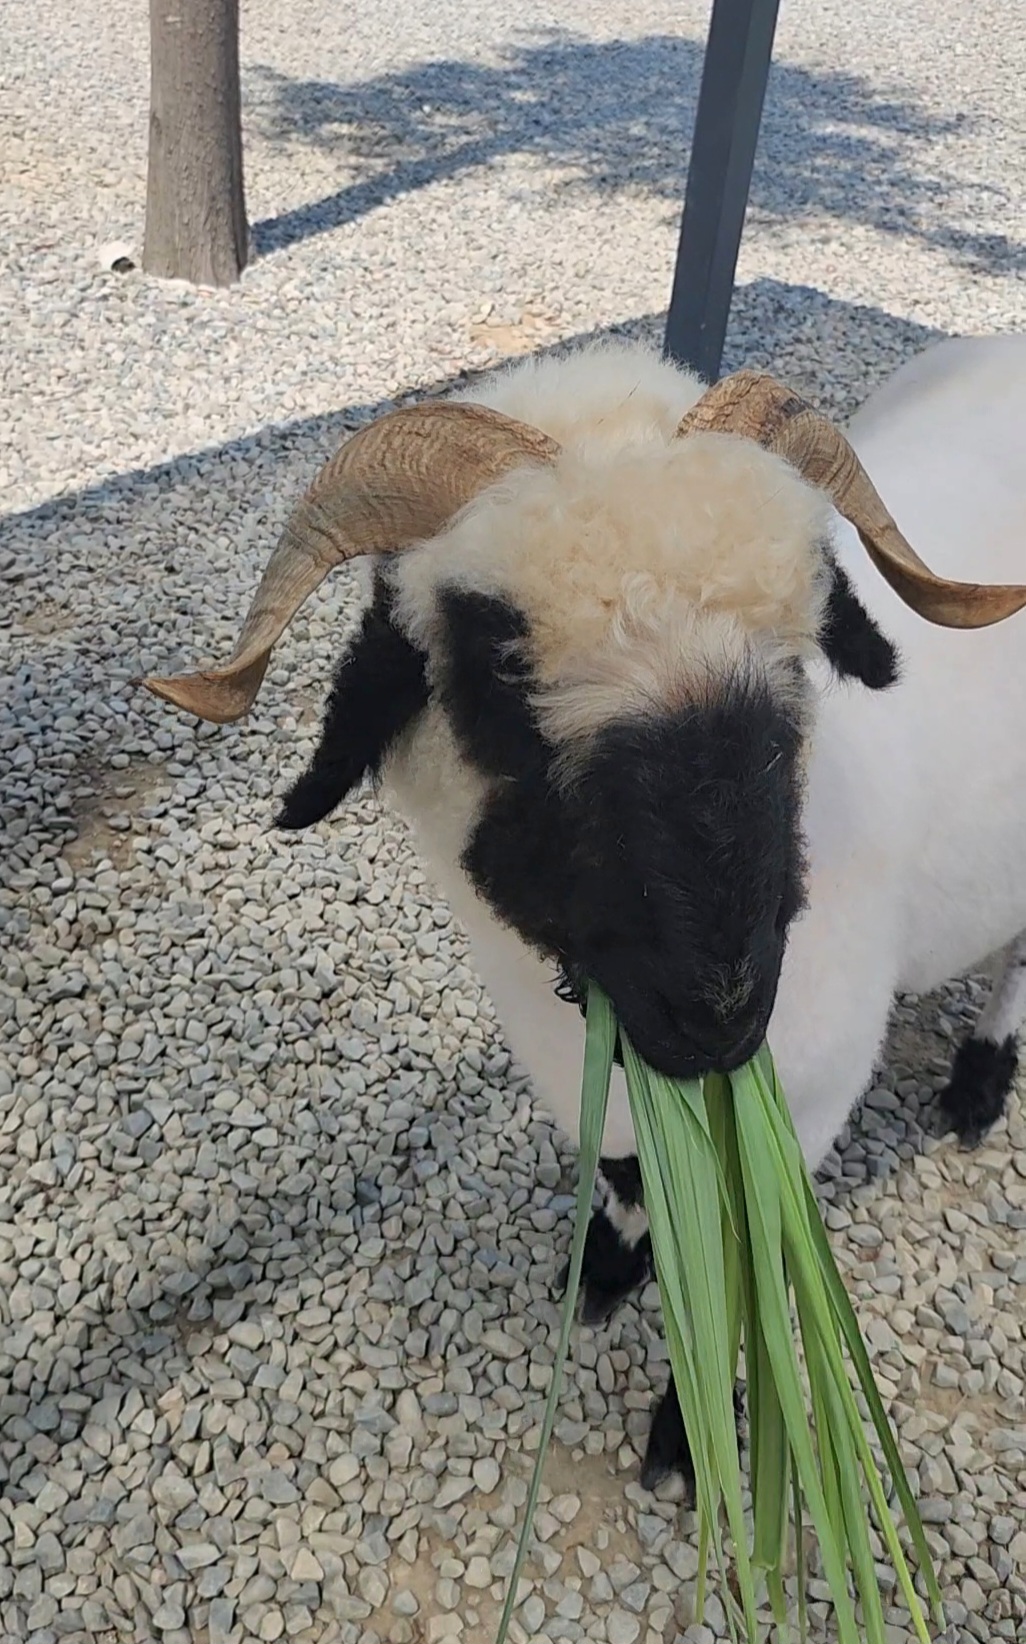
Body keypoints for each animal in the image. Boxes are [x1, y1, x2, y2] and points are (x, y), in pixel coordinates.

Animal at [138, 330, 1026, 1492]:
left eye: (798, 657)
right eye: (494, 667)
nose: (720, 1009)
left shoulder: (812, 1100)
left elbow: (747, 1260)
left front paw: (690, 1436)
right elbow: (625, 1188)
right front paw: (604, 1272)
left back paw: (980, 1083)